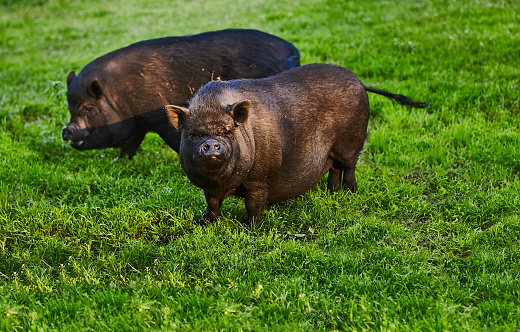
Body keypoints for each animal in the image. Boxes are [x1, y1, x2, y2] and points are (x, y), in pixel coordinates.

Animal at [62, 28, 300, 158]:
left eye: (89, 109)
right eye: (70, 107)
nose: (67, 130)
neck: (119, 96)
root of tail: (293, 51)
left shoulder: (158, 115)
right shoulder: (139, 123)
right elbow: (129, 146)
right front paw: (119, 162)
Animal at [166, 62, 426, 224]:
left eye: (228, 131)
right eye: (194, 134)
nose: (211, 144)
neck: (223, 183)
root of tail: (360, 82)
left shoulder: (259, 179)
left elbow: (254, 205)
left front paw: (252, 228)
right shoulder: (208, 188)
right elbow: (212, 204)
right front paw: (205, 222)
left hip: (351, 142)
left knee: (349, 167)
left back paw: (350, 192)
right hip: (332, 152)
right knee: (334, 169)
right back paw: (332, 192)